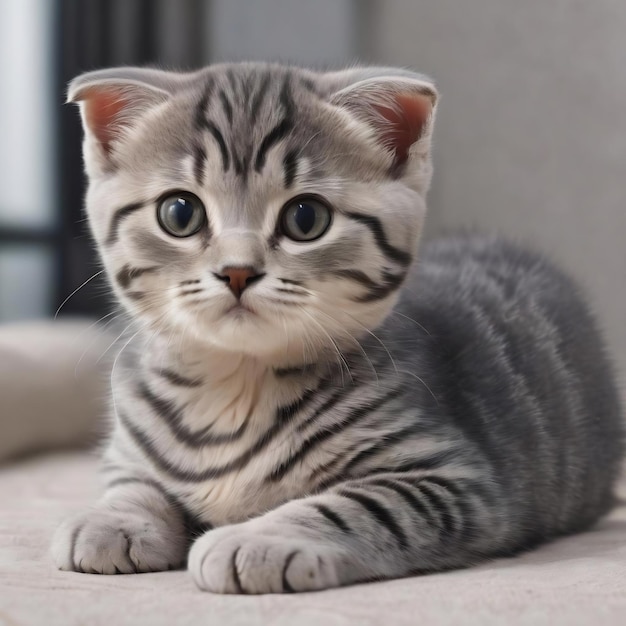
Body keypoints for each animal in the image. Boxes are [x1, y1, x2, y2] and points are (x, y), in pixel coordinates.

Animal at [51, 62, 620, 588]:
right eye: (179, 213)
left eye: (306, 218)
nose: (237, 271)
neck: (232, 388)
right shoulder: (128, 446)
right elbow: (132, 481)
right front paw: (113, 519)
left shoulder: (453, 479)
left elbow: (351, 506)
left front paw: (256, 537)